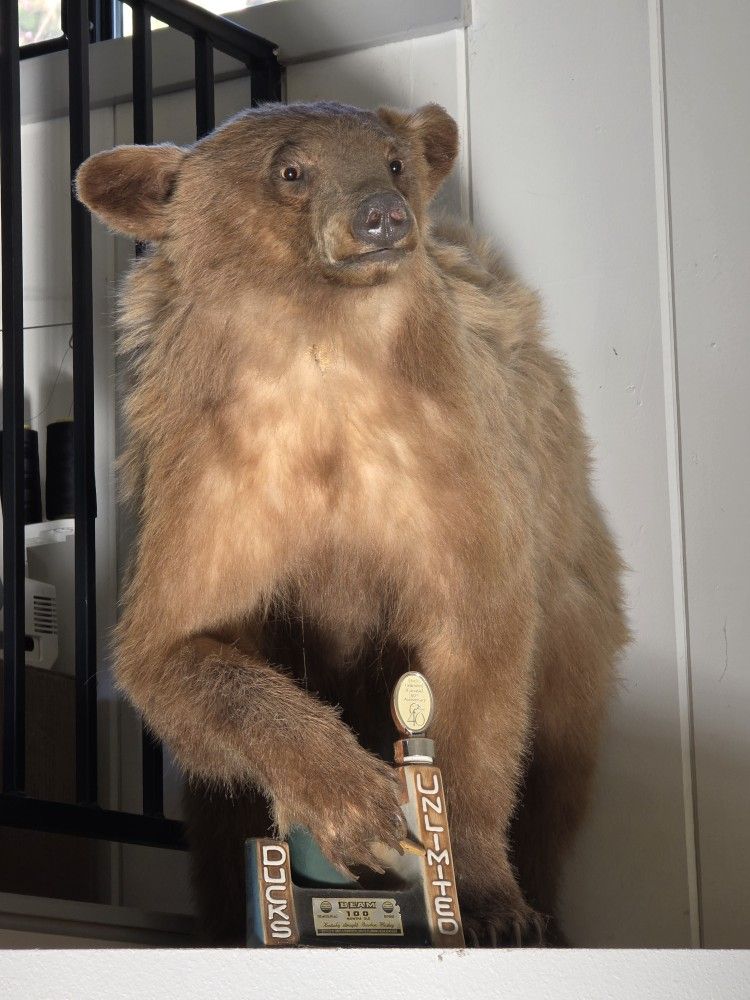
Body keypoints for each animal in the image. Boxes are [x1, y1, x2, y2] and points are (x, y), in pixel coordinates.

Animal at [76, 101, 628, 946]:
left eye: (394, 160)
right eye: (290, 168)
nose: (383, 215)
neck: (325, 357)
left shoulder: (446, 469)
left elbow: (480, 664)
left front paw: (487, 901)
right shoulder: (215, 484)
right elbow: (175, 647)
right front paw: (356, 804)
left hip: (575, 602)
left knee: (560, 762)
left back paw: (547, 907)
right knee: (215, 811)